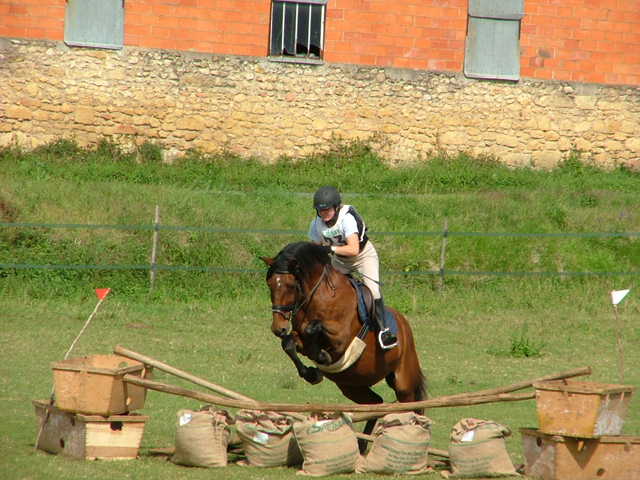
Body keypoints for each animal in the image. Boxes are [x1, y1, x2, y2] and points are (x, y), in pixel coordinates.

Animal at [261, 241, 426, 448]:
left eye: (291, 285)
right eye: (269, 284)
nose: (278, 328)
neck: (318, 295)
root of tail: (404, 325)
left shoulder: (341, 338)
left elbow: (313, 329)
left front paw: (322, 357)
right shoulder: (299, 339)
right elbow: (289, 343)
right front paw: (312, 373)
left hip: (404, 381)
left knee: (409, 405)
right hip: (352, 386)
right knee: (375, 404)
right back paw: (362, 445)